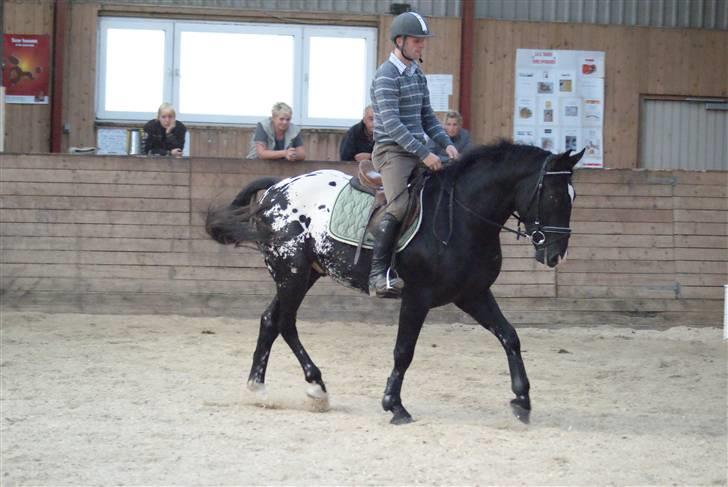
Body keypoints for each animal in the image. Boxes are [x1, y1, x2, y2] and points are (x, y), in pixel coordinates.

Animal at [208, 141, 584, 424]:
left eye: (573, 196)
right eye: (553, 196)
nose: (556, 255)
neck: (463, 217)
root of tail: (278, 188)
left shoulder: (472, 295)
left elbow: (510, 337)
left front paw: (522, 400)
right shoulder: (417, 297)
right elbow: (404, 351)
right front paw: (394, 405)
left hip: (303, 274)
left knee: (270, 320)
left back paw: (259, 389)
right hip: (292, 273)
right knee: (285, 322)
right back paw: (316, 386)